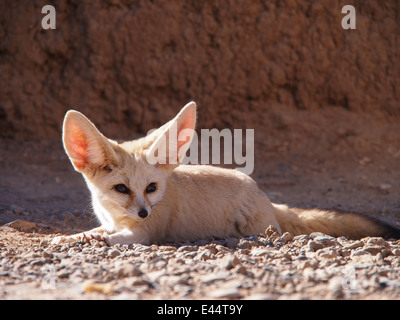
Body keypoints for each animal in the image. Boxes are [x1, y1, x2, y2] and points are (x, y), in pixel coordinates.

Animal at [53, 102, 400, 245]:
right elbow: (97, 231)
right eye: (121, 189)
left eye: (151, 188)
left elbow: (115, 238)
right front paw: (75, 235)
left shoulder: (145, 233)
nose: (143, 212)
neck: (117, 217)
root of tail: (265, 196)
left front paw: (92, 240)